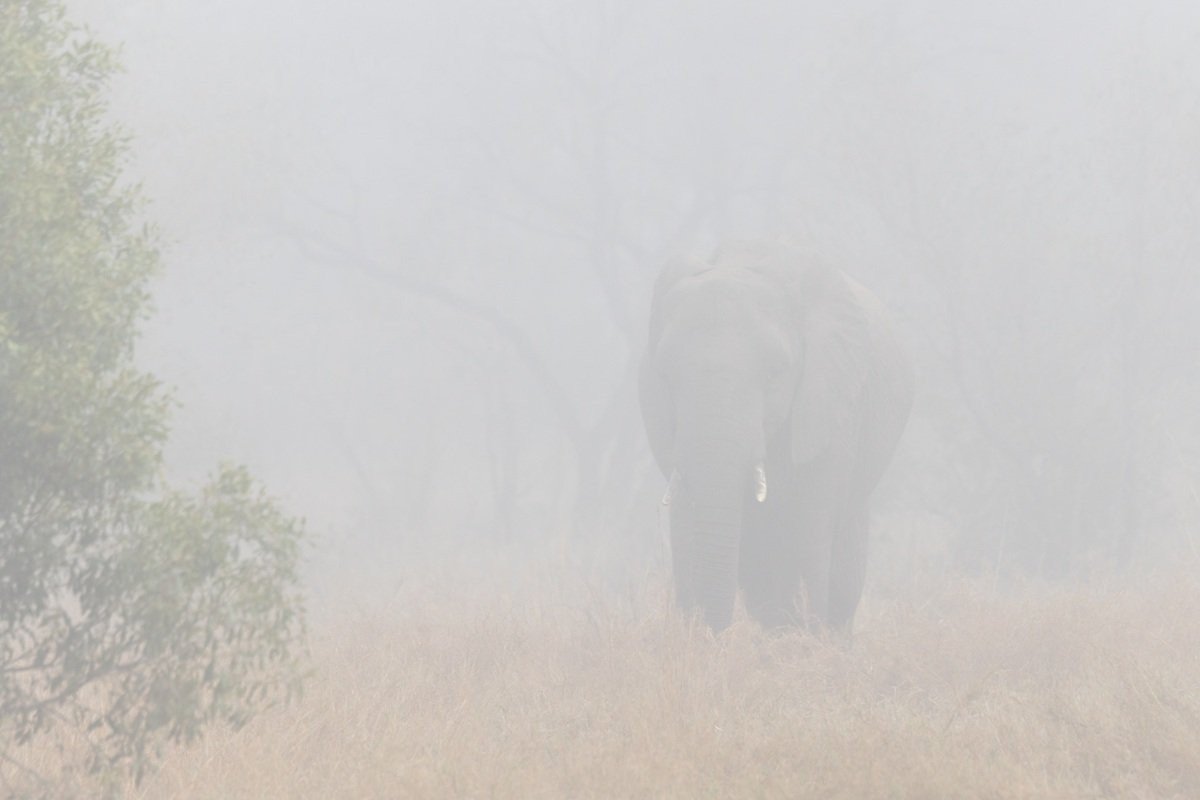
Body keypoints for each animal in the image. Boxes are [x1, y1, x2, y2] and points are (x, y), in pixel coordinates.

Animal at [638, 240, 912, 632]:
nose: (710, 635)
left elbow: (814, 528)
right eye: (665, 375)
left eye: (775, 374)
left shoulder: (833, 403)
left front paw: (811, 640)